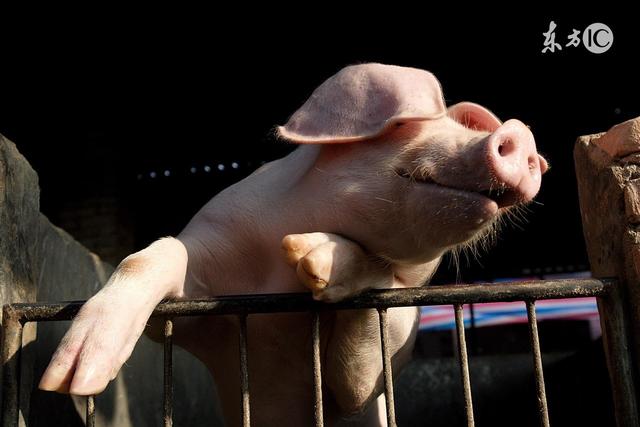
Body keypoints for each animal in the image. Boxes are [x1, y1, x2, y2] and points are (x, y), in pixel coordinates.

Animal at [40, 64, 548, 427]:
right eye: (414, 125)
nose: (523, 135)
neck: (274, 285)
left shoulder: (388, 353)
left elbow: (360, 379)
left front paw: (313, 257)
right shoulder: (197, 305)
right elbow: (155, 254)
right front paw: (69, 382)